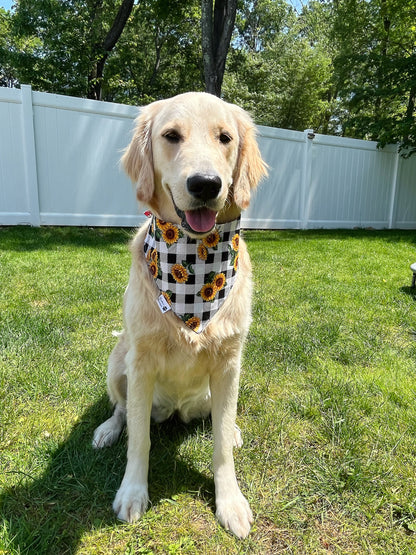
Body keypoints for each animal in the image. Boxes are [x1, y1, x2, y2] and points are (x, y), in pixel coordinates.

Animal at [92, 93, 266, 540]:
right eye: (171, 136)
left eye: (225, 138)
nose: (206, 184)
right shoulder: (141, 362)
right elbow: (139, 439)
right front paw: (132, 491)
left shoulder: (229, 362)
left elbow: (220, 445)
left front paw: (230, 501)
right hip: (117, 363)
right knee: (122, 410)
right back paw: (107, 429)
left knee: (220, 418)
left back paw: (232, 428)